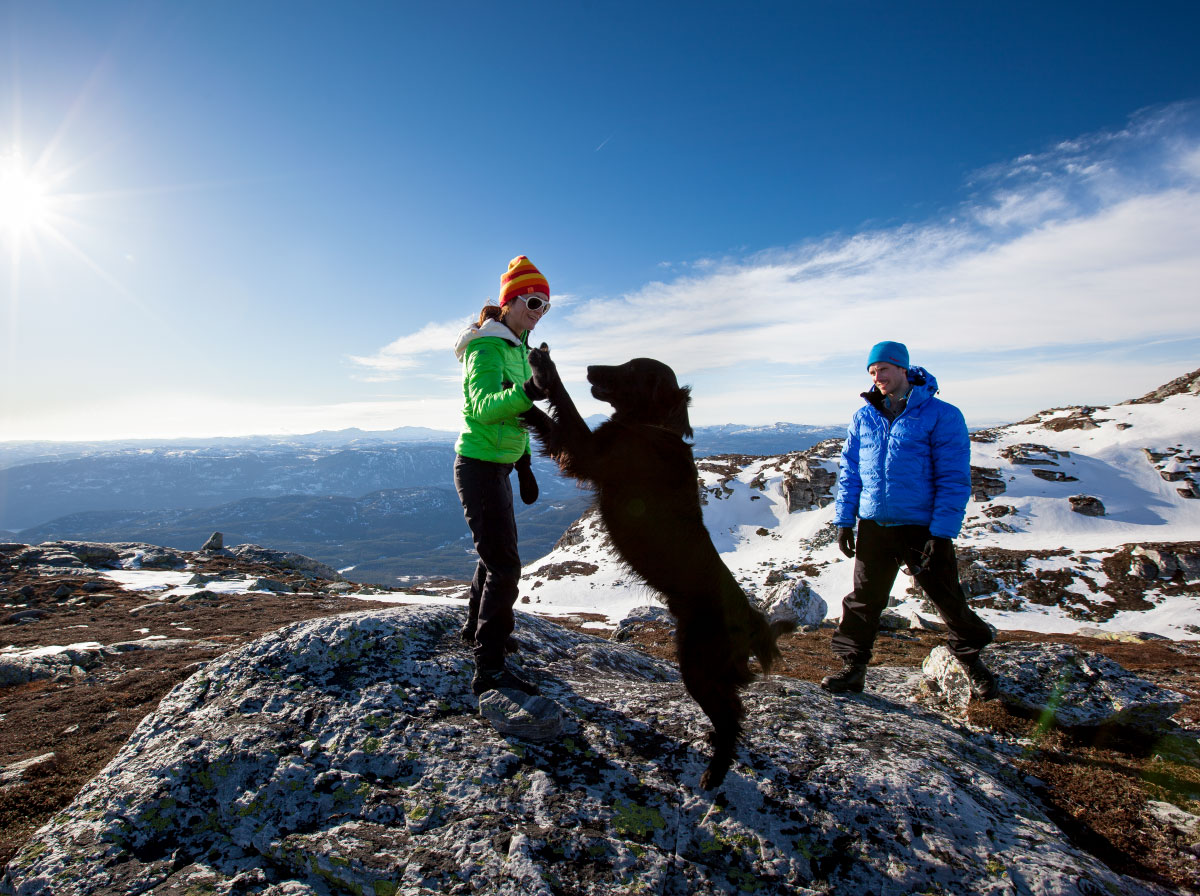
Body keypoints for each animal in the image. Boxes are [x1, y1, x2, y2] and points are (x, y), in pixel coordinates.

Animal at [520, 347, 792, 786]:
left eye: (631, 369)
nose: (590, 367)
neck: (651, 427)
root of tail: (752, 620)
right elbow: (547, 417)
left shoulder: (590, 453)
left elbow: (563, 406)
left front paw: (545, 370)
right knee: (735, 706)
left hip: (697, 664)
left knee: (732, 715)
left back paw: (715, 771)